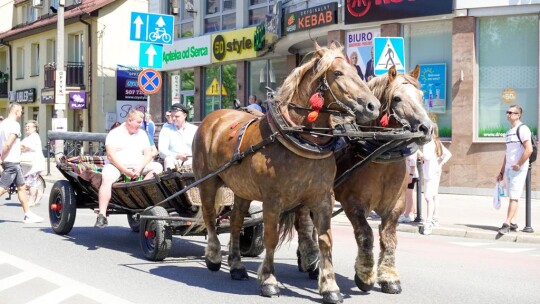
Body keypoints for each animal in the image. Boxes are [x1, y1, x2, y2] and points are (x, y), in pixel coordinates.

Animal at [192, 41, 382, 302]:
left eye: (355, 70)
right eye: (337, 73)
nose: (374, 106)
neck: (300, 139)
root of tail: (213, 117)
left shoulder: (323, 198)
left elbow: (325, 240)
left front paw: (330, 287)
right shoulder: (273, 200)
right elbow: (271, 238)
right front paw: (269, 280)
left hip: (242, 189)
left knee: (236, 221)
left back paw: (237, 266)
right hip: (207, 181)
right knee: (210, 216)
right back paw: (213, 256)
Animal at [294, 65, 432, 294]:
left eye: (421, 96)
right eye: (397, 98)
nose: (427, 128)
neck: (380, 158)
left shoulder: (396, 204)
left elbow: (389, 238)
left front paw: (389, 277)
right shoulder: (353, 203)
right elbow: (366, 235)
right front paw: (365, 275)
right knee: (303, 222)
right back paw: (310, 258)